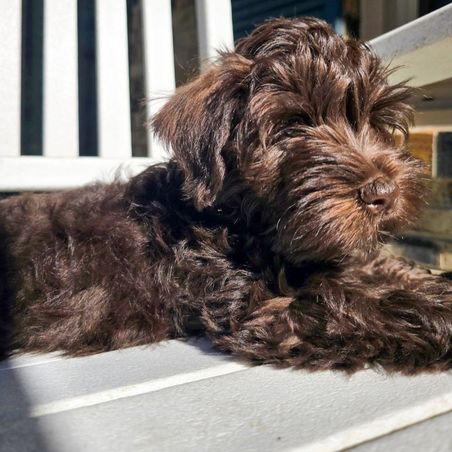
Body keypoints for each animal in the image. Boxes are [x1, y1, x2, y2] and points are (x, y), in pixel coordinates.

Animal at [0, 18, 451, 373]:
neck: (240, 220)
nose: (384, 192)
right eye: (291, 127)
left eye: (375, 122)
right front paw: (438, 309)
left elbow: (373, 268)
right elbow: (362, 303)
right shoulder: (266, 308)